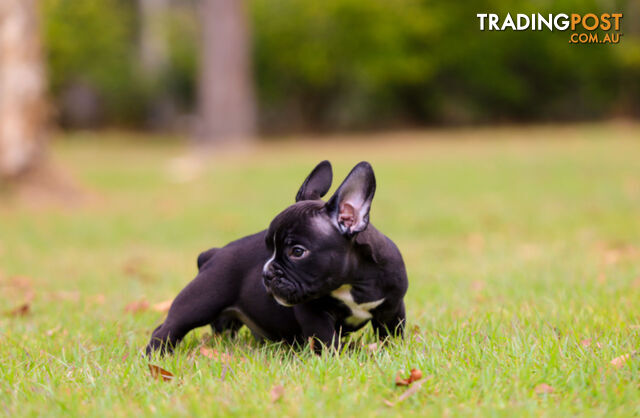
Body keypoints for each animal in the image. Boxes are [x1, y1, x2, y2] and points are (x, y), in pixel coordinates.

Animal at [146, 162, 408, 354]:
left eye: (297, 252)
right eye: (267, 248)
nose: (267, 273)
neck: (352, 282)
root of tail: (213, 254)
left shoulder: (393, 307)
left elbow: (391, 333)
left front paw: (393, 351)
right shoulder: (313, 313)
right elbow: (326, 339)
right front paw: (337, 357)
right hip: (199, 301)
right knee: (166, 328)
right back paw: (157, 355)